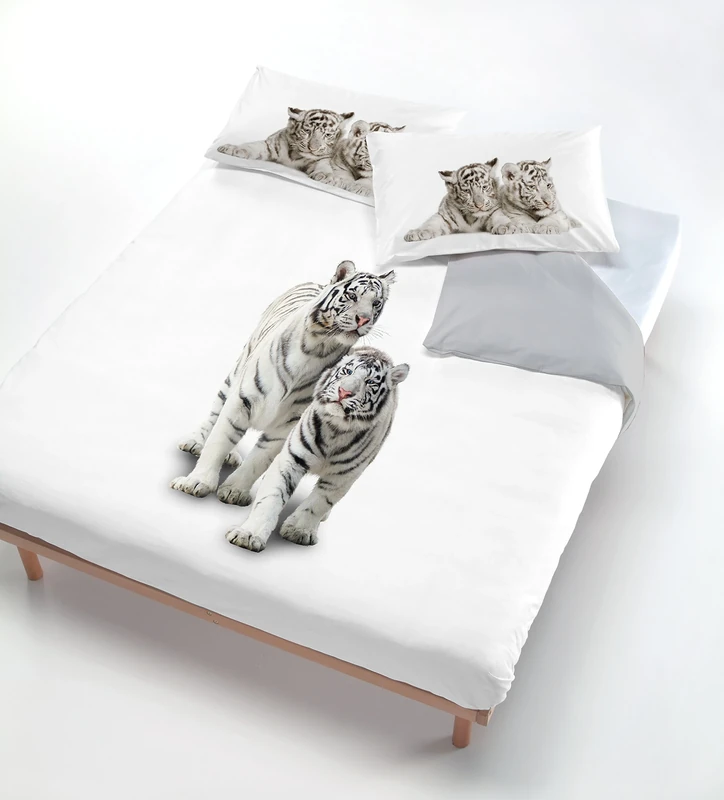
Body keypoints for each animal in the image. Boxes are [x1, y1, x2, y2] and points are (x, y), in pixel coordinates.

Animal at [216, 107, 354, 171]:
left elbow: (322, 164)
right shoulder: (270, 145)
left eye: (328, 135)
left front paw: (326, 176)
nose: (313, 148)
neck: (295, 155)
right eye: (307, 131)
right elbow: (252, 146)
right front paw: (232, 148)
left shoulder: (323, 158)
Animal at [225, 347, 409, 552]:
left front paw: (298, 530)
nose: (344, 392)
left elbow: (319, 503)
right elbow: (271, 497)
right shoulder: (292, 458)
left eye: (370, 382)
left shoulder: (343, 477)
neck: (337, 430)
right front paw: (248, 535)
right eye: (347, 372)